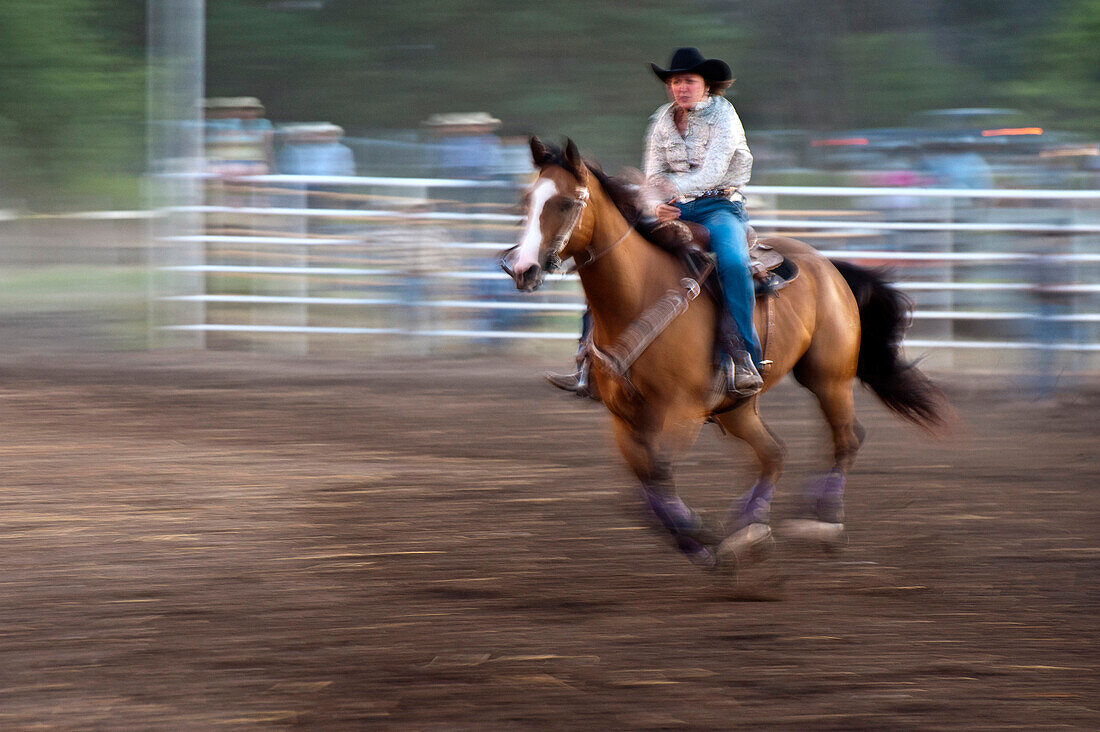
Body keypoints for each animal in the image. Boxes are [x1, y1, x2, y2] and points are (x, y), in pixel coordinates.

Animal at [503, 138, 941, 572]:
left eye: (565, 203)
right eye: (527, 199)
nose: (520, 269)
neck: (639, 290)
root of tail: (827, 265)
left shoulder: (681, 411)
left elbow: (659, 472)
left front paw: (701, 536)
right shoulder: (623, 418)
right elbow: (644, 485)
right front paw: (700, 541)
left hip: (827, 378)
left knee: (846, 438)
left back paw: (821, 525)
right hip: (737, 407)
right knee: (773, 454)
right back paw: (749, 529)